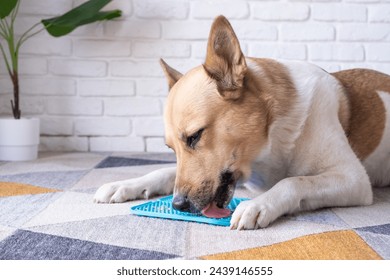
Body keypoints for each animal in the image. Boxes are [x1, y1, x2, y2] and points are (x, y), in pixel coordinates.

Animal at [94, 15, 390, 230]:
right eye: (170, 148)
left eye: (195, 136)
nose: (177, 206)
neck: (273, 137)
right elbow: (164, 171)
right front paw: (125, 185)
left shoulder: (353, 179)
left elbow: (294, 181)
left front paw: (258, 205)